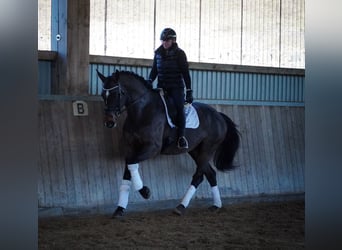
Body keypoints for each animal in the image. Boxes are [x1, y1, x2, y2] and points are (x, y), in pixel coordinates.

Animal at [96, 69, 240, 217]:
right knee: (210, 174)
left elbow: (131, 163)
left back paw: (181, 206)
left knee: (198, 176)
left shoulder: (152, 148)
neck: (142, 111)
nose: (109, 122)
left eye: (117, 94)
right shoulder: (130, 148)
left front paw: (145, 192)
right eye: (102, 95)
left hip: (208, 149)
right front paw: (119, 209)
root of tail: (218, 115)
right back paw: (216, 205)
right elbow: (128, 169)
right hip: (195, 151)